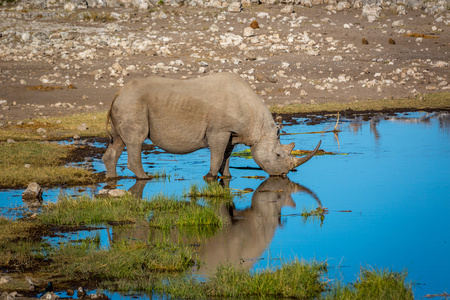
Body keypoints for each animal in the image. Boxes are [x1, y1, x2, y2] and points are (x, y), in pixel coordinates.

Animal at [103, 73, 320, 179]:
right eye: (278, 155)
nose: (283, 174)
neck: (258, 126)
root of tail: (118, 93)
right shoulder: (219, 131)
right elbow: (216, 154)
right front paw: (210, 177)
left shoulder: (232, 133)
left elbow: (226, 154)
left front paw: (227, 176)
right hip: (133, 104)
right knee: (135, 140)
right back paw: (145, 178)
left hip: (126, 104)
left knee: (119, 141)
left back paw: (112, 180)